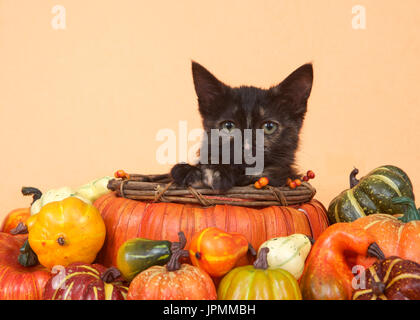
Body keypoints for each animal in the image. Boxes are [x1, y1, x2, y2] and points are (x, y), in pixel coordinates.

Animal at [170, 62, 312, 192]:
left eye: (269, 127)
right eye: (228, 126)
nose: (246, 147)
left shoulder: (283, 174)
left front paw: (215, 172)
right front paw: (190, 170)